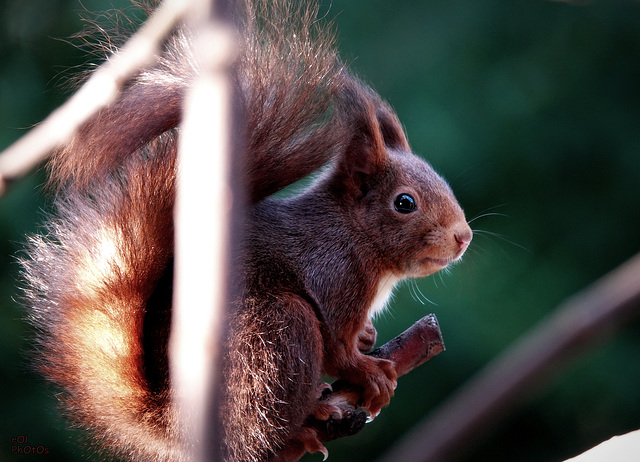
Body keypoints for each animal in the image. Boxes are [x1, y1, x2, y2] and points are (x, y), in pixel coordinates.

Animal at [21, 0, 470, 462]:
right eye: (404, 203)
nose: (463, 237)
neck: (355, 237)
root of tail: (175, 425)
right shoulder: (331, 275)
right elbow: (336, 349)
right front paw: (367, 372)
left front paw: (367, 337)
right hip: (274, 337)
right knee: (258, 424)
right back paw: (301, 428)